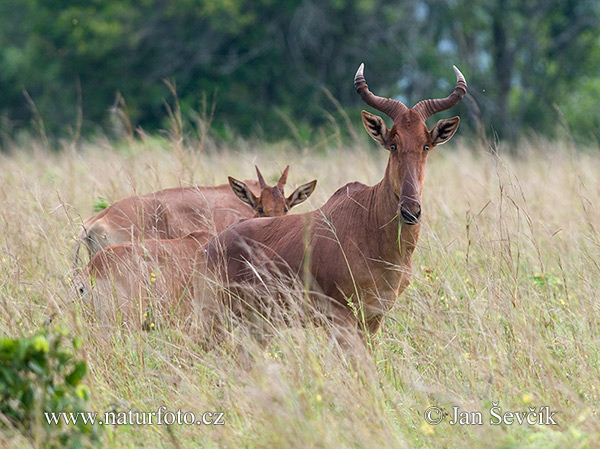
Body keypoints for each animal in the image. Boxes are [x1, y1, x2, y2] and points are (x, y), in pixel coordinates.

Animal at [206, 63, 468, 344]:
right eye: (393, 144)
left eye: (426, 145)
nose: (411, 212)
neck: (369, 223)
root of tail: (211, 246)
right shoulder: (341, 318)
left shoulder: (373, 318)